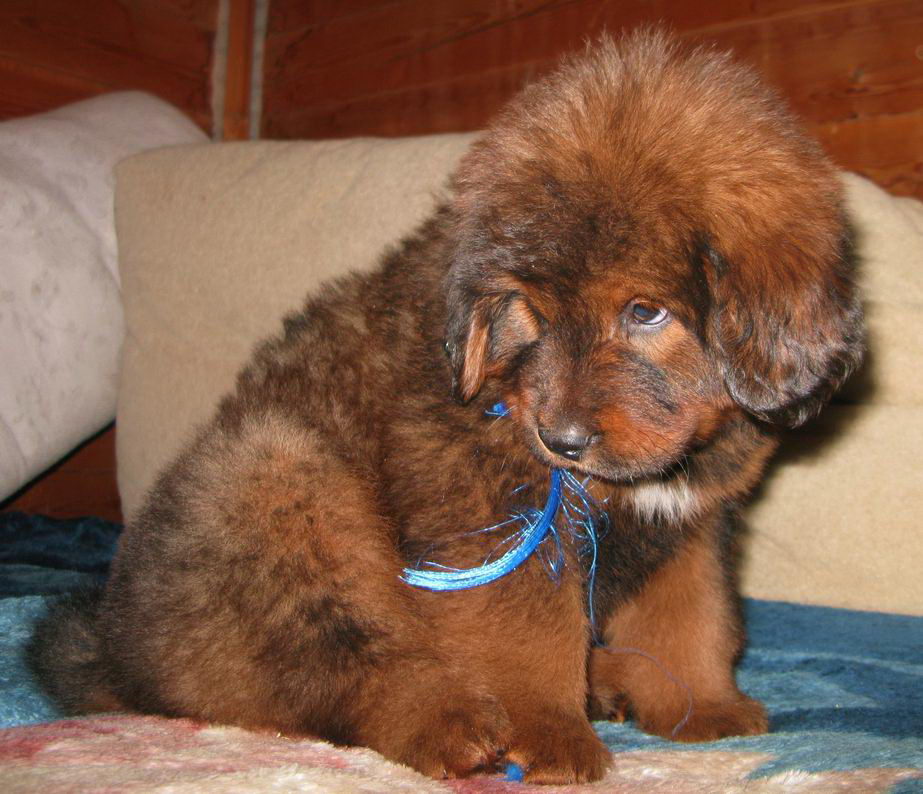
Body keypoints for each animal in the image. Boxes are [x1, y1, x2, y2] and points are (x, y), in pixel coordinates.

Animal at [31, 30, 863, 784]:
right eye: (531, 312)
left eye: (644, 312)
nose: (559, 440)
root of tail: (117, 657)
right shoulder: (490, 513)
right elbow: (528, 632)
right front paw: (548, 733)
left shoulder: (690, 524)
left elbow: (691, 619)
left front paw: (701, 707)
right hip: (283, 480)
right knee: (345, 672)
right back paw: (453, 726)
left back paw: (601, 686)